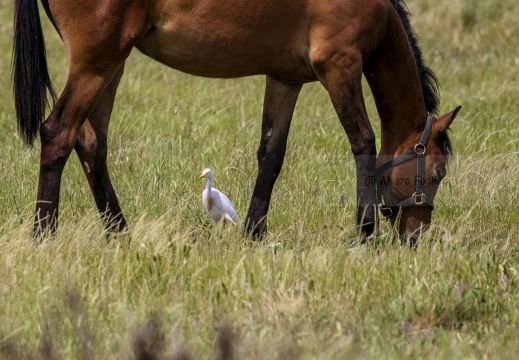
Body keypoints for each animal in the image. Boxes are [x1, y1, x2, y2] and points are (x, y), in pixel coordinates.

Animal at [12, 0, 462, 245]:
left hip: (111, 65)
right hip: (97, 63)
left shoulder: (285, 80)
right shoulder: (339, 66)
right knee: (58, 133)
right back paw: (43, 235)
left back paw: (119, 233)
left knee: (91, 143)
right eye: (437, 172)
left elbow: (271, 155)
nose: (414, 237)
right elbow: (363, 143)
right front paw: (366, 233)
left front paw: (254, 232)